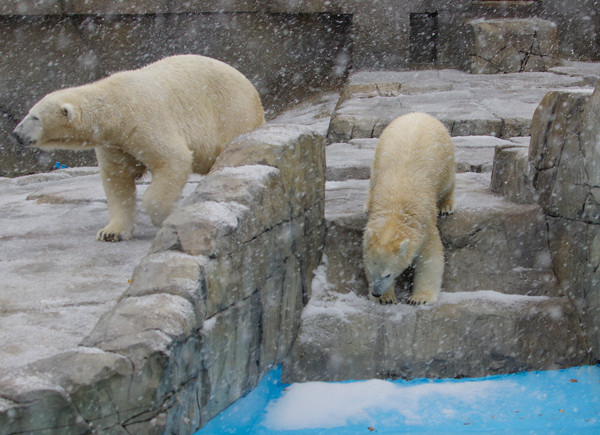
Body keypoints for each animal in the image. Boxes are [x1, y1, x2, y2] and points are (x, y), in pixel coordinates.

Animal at [12, 54, 266, 242]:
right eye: (29, 113)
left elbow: (173, 159)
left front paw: (166, 215)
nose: (16, 134)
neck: (115, 108)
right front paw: (111, 232)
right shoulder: (114, 143)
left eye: (34, 117)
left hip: (232, 114)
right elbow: (117, 179)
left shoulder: (144, 122)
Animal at [360, 114, 454, 308]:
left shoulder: (424, 226)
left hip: (446, 158)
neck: (396, 208)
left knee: (449, 182)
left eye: (388, 274)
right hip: (379, 148)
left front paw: (419, 298)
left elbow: (431, 258)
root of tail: (420, 114)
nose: (376, 292)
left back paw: (446, 205)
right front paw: (386, 298)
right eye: (372, 270)